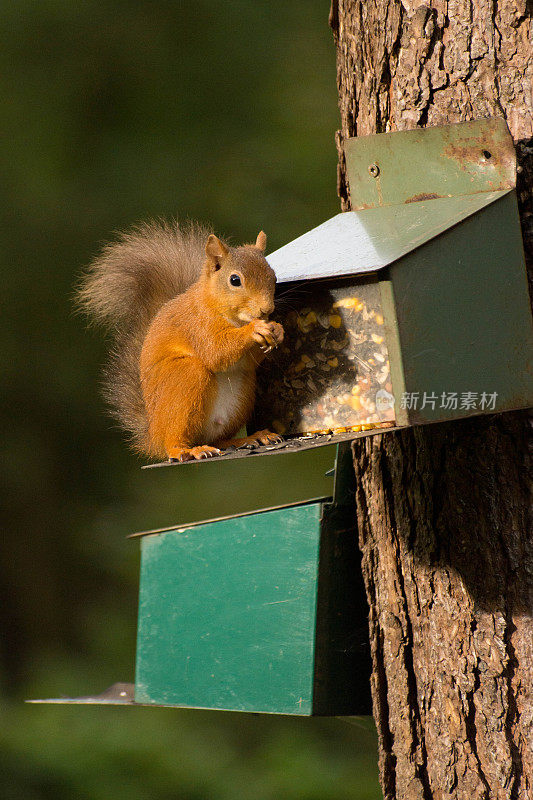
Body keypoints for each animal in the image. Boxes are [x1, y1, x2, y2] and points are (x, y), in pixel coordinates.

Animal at [78, 222, 282, 462]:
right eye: (235, 280)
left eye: (273, 277)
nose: (266, 309)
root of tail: (154, 436)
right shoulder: (197, 326)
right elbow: (216, 352)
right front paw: (255, 329)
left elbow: (247, 361)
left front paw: (277, 330)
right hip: (184, 379)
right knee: (175, 441)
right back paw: (188, 450)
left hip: (243, 393)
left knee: (219, 440)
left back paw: (251, 438)